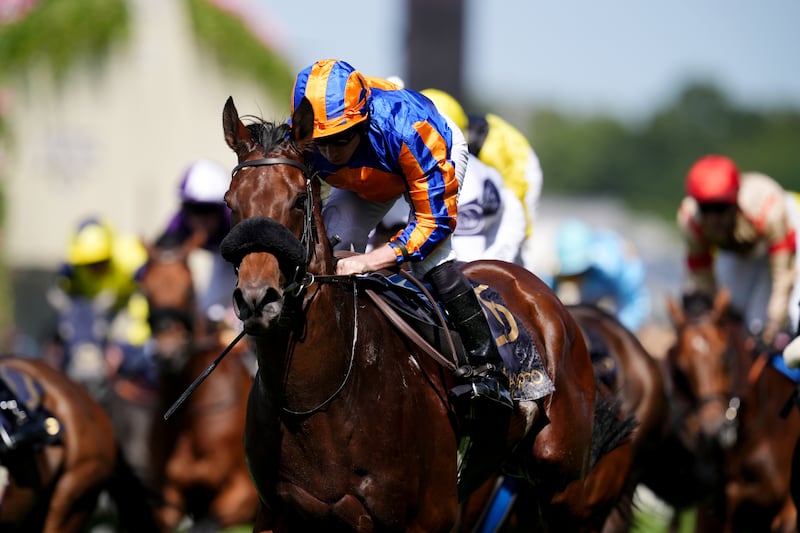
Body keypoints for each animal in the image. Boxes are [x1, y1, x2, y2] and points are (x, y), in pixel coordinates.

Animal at [219, 95, 635, 532]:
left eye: (299, 199)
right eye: (231, 202)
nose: (257, 298)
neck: (320, 403)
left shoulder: (427, 517)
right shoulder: (276, 511)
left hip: (563, 481)